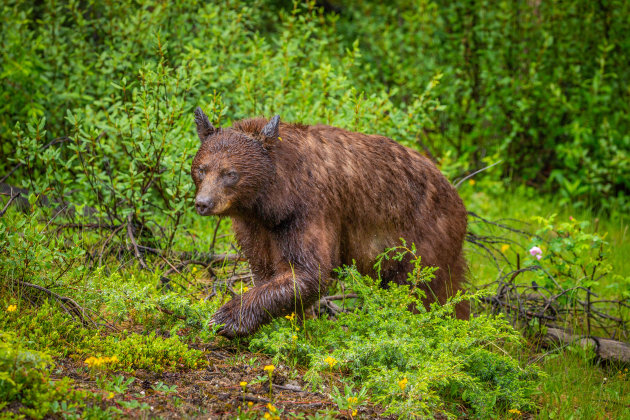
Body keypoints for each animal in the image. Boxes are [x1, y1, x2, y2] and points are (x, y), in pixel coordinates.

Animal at [193, 108, 470, 338]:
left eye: (230, 173)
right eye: (201, 169)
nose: (203, 203)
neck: (272, 197)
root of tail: (458, 198)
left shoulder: (309, 208)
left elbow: (308, 270)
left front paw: (226, 317)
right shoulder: (255, 224)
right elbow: (265, 267)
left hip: (423, 236)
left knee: (425, 290)